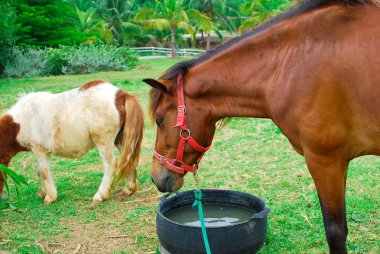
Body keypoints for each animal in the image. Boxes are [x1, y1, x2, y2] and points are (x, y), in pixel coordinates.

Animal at [0, 81, 144, 204]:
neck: (21, 121)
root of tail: (120, 94)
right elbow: (39, 171)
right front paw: (41, 193)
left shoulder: (39, 150)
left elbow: (44, 171)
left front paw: (49, 197)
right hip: (120, 139)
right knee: (128, 159)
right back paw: (128, 189)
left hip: (104, 141)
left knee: (111, 164)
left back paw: (100, 195)